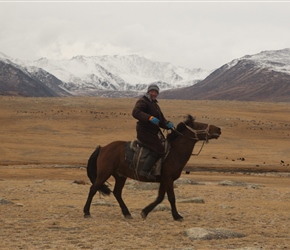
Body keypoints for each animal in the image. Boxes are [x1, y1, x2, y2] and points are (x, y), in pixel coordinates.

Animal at [82, 114, 221, 220]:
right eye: (200, 125)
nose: (219, 129)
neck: (174, 152)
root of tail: (102, 148)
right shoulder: (168, 179)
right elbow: (171, 198)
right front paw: (177, 216)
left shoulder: (164, 180)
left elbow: (160, 197)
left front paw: (145, 211)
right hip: (104, 173)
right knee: (93, 189)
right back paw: (87, 212)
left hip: (120, 176)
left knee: (117, 192)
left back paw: (127, 213)